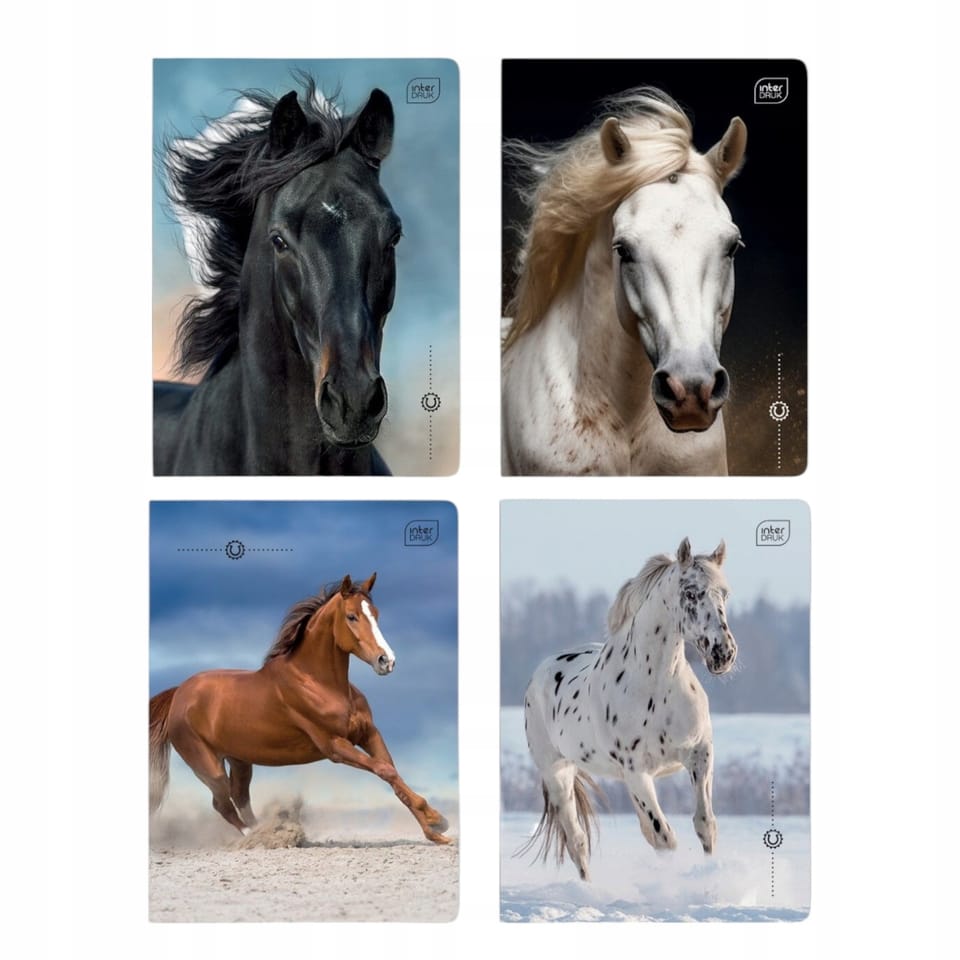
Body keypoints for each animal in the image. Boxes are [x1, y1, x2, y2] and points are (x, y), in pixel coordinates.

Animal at [149, 574, 451, 844]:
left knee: (240, 797)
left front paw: (436, 830)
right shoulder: (334, 746)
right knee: (222, 803)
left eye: (375, 614)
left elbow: (391, 772)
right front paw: (436, 820)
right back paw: (258, 836)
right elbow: (385, 771)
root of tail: (179, 693)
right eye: (352, 616)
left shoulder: (368, 734)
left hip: (240, 759)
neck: (319, 683)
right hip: (207, 765)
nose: (386, 661)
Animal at [519, 538, 736, 880]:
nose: (722, 653)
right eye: (690, 592)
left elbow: (704, 824)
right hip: (558, 773)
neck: (656, 687)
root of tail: (541, 671)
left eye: (724, 593)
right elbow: (665, 837)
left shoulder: (700, 753)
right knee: (577, 841)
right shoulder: (637, 772)